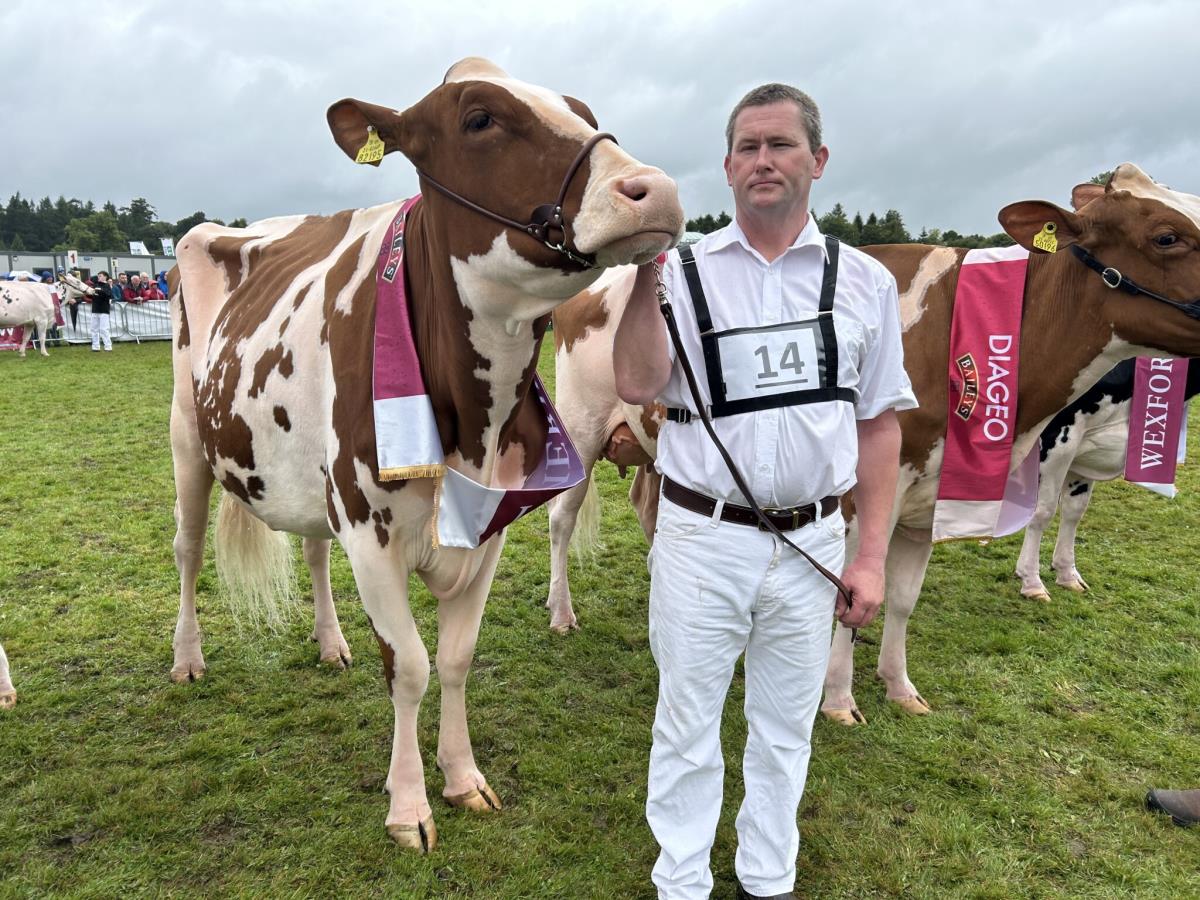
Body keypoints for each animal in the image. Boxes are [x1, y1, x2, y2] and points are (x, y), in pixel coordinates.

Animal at [166, 58, 686, 854]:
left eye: (585, 112)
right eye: (479, 118)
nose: (653, 189)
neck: (470, 427)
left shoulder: (488, 527)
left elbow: (455, 659)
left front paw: (463, 778)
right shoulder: (369, 531)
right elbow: (408, 666)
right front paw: (408, 806)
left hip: (310, 484)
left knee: (312, 550)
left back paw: (329, 642)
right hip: (188, 440)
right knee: (189, 550)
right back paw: (188, 658)